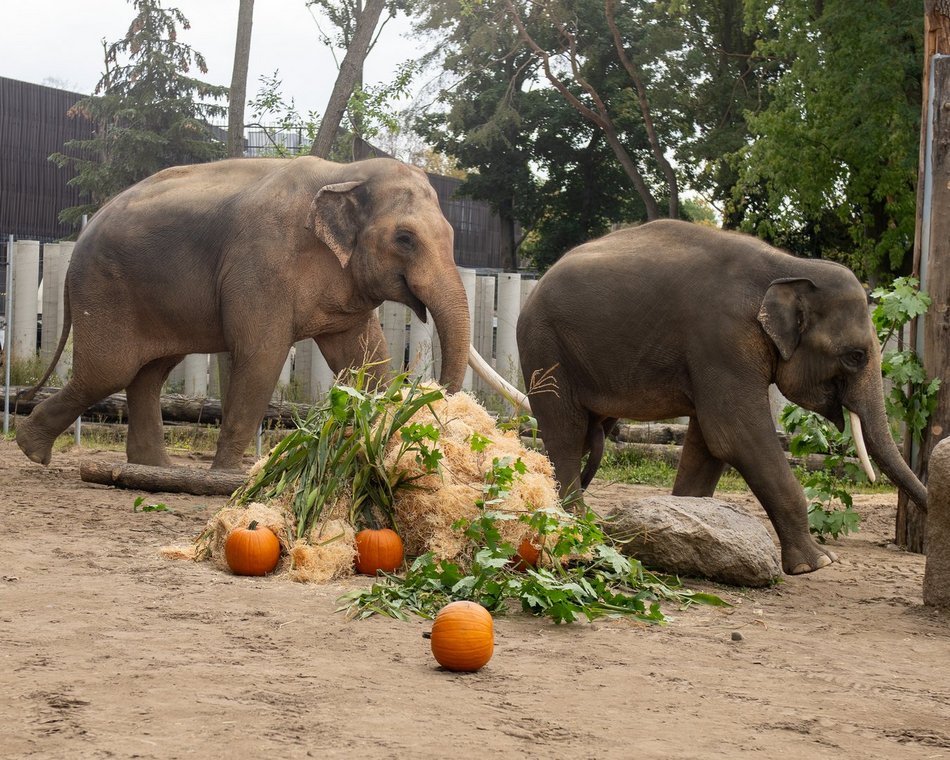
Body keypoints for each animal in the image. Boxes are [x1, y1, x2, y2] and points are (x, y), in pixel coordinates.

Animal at [18, 157, 472, 470]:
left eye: (453, 236)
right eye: (405, 238)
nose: (439, 412)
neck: (346, 171)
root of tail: (81, 235)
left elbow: (365, 360)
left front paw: (380, 432)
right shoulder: (261, 265)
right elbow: (262, 356)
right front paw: (228, 475)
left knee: (148, 374)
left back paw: (154, 468)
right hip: (104, 288)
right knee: (109, 372)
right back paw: (33, 451)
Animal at [512, 220, 928, 576]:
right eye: (855, 356)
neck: (790, 265)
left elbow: (709, 444)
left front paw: (683, 533)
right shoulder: (722, 339)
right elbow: (735, 434)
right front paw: (818, 563)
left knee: (586, 435)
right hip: (545, 347)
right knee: (565, 434)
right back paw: (577, 528)